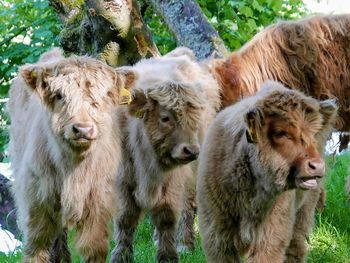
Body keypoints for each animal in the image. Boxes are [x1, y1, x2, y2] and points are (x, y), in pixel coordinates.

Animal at [8, 48, 135, 262]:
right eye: (59, 95)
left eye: (102, 96)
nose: (83, 129)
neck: (75, 170)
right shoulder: (36, 202)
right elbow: (36, 247)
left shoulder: (98, 206)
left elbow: (94, 249)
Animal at [110, 48, 219, 263]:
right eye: (165, 118)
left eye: (195, 118)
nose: (191, 150)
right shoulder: (123, 179)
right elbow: (125, 218)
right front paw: (121, 256)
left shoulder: (173, 180)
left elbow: (166, 216)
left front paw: (168, 255)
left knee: (188, 207)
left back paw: (185, 244)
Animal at [197, 81, 336, 262]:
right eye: (281, 133)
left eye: (313, 133)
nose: (317, 165)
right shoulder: (217, 237)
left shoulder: (270, 238)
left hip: (304, 209)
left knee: (296, 246)